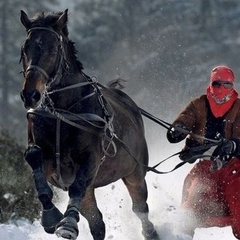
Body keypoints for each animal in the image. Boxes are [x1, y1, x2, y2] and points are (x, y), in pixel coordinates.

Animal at [19, 9, 160, 240]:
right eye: (25, 48)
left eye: (53, 49)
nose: (30, 94)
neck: (62, 113)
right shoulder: (46, 157)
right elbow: (33, 156)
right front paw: (50, 215)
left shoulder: (91, 158)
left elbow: (77, 187)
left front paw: (67, 223)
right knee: (97, 223)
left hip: (135, 173)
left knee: (140, 208)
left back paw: (150, 232)